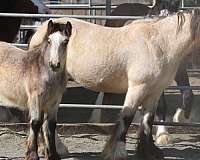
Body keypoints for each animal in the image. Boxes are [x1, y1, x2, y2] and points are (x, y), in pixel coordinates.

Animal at [0, 20, 72, 160]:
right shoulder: (35, 99)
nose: (54, 64)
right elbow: (36, 123)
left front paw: (53, 155)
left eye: (65, 41)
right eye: (49, 40)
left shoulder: (54, 102)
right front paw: (32, 154)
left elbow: (50, 125)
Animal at [28, 10, 200, 159]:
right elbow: (127, 117)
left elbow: (148, 120)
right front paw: (117, 151)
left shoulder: (154, 92)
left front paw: (149, 151)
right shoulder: (137, 88)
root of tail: (40, 30)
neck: (158, 44)